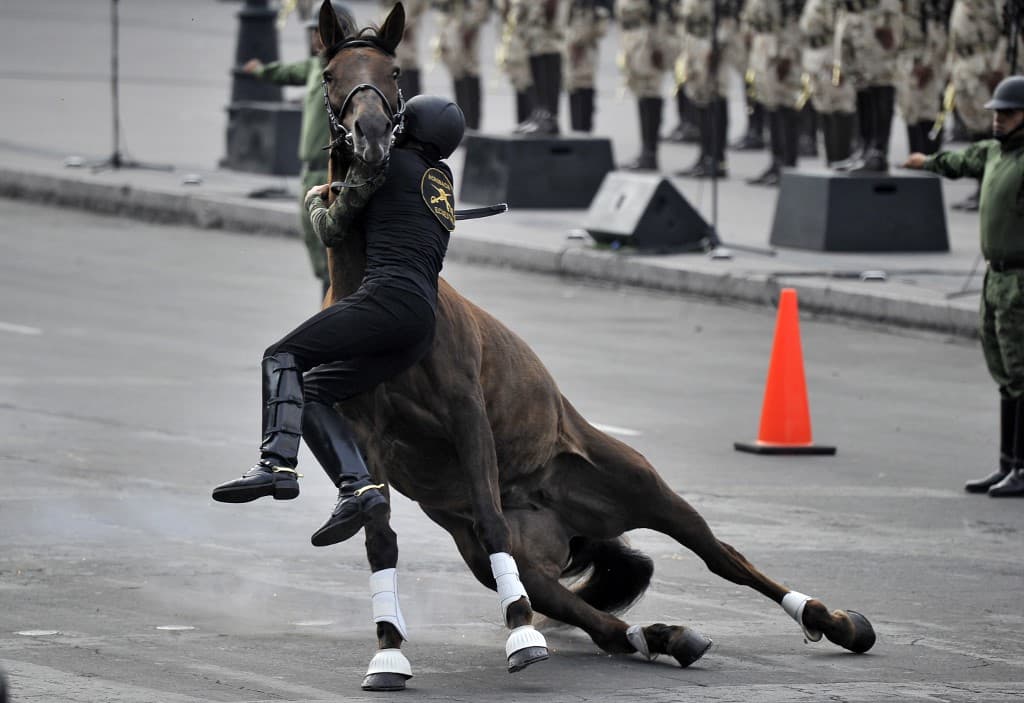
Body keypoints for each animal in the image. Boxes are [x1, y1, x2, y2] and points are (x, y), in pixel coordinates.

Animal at [316, 2, 876, 692]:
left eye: (393, 72)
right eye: (332, 73)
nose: (369, 135)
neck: (379, 290)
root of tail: (565, 521)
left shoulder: (467, 414)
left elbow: (486, 508)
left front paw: (518, 637)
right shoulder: (366, 435)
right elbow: (380, 540)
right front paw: (389, 652)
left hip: (644, 488)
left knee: (723, 556)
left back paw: (833, 621)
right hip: (506, 556)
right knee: (579, 609)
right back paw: (658, 635)